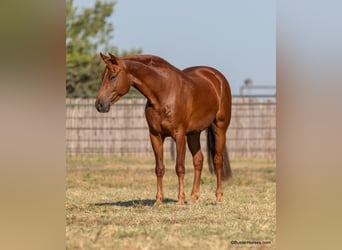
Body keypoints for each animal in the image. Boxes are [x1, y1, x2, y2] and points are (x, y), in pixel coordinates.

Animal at [95, 52, 231, 205]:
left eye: (113, 77)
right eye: (102, 77)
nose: (100, 104)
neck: (164, 92)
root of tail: (217, 77)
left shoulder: (179, 135)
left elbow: (180, 167)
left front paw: (180, 200)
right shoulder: (155, 135)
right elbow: (159, 168)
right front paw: (158, 200)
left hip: (219, 128)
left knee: (217, 160)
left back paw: (218, 197)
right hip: (193, 134)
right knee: (198, 161)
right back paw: (193, 197)